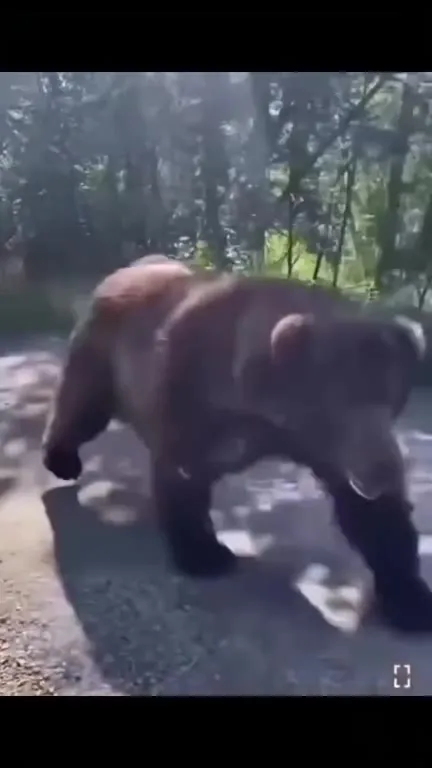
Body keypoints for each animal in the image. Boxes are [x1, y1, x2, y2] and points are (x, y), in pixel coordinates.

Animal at [42, 257, 432, 633]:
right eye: (340, 405)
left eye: (391, 399)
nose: (382, 470)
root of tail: (117, 273)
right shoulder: (193, 392)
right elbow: (183, 473)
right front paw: (205, 554)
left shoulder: (318, 446)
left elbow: (372, 516)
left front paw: (411, 600)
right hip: (102, 355)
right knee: (82, 408)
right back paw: (62, 460)